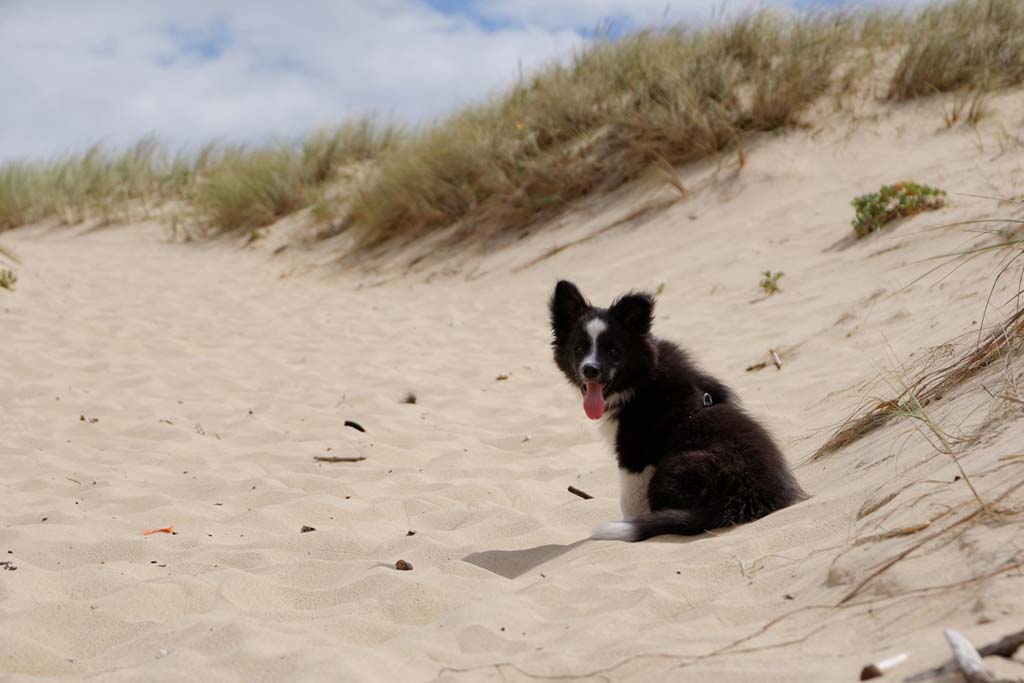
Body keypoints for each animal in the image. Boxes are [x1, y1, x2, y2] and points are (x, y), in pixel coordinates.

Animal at [548, 280, 802, 540]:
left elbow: (630, 502)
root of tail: (743, 498)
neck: (641, 380)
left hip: (670, 471)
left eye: (613, 350)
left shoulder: (635, 454)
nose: (590, 370)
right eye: (579, 348)